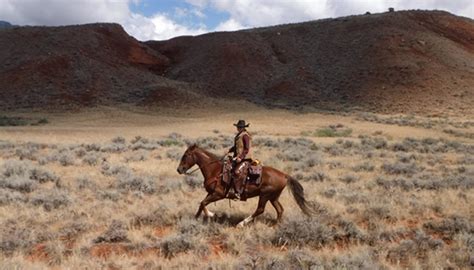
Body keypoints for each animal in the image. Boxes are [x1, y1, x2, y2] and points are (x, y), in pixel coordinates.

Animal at [176, 144, 312, 227]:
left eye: (186, 155)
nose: (179, 169)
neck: (215, 170)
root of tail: (284, 175)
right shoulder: (211, 193)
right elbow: (201, 204)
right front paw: (195, 219)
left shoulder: (218, 194)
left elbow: (204, 203)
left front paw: (212, 215)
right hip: (273, 197)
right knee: (280, 210)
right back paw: (276, 225)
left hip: (265, 195)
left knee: (260, 210)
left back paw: (241, 223)